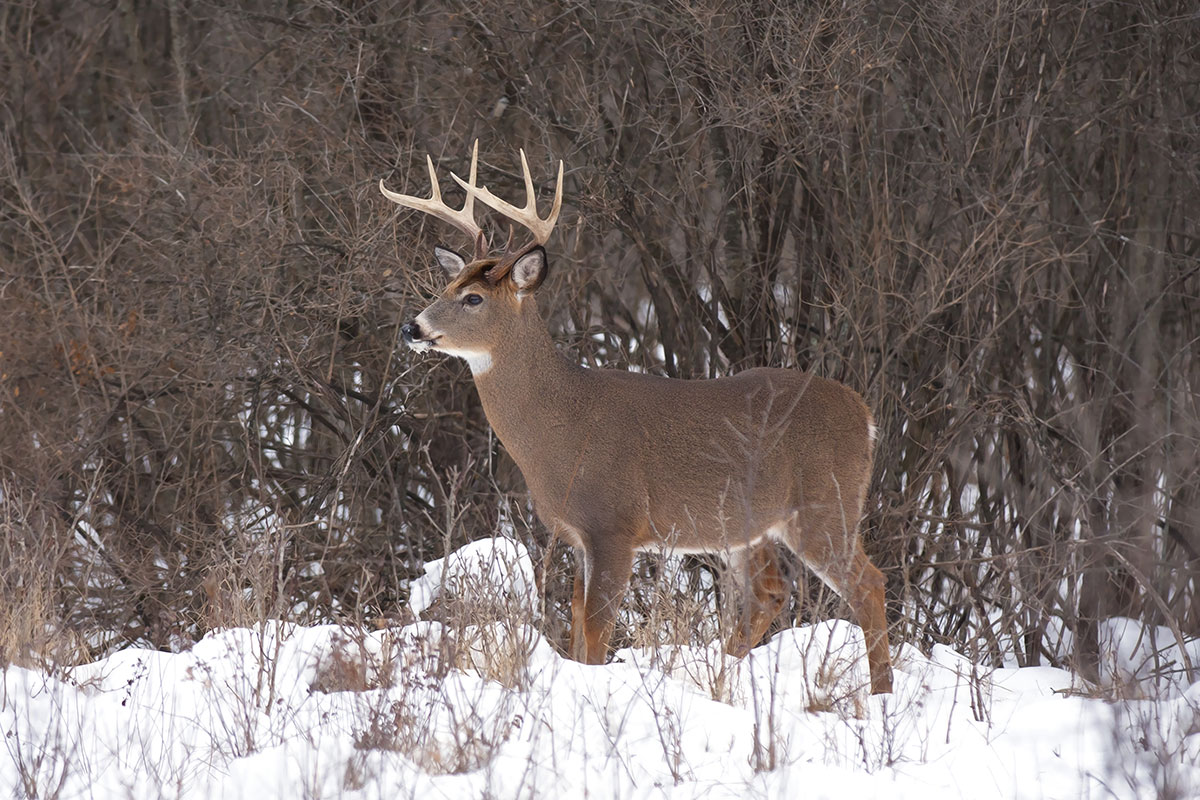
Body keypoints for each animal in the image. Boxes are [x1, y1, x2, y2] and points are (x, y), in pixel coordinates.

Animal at [381, 142, 892, 695]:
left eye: (473, 298)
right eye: (447, 284)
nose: (412, 327)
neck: (562, 426)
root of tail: (865, 414)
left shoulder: (615, 522)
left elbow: (596, 628)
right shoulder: (578, 533)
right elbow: (578, 624)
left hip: (826, 505)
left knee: (868, 584)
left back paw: (880, 694)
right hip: (747, 524)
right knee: (770, 593)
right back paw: (724, 676)